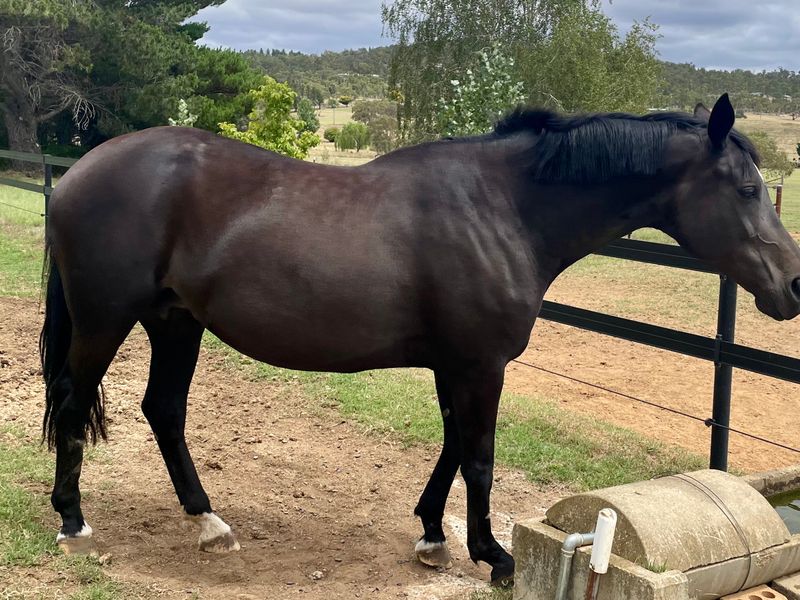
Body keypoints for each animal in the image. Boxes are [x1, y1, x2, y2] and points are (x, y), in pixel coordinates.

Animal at [40, 93, 800, 585]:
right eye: (745, 188)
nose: (793, 285)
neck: (503, 209)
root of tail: (80, 171)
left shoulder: (453, 363)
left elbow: (453, 446)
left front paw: (434, 534)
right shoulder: (481, 365)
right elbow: (481, 457)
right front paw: (494, 556)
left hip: (176, 322)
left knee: (163, 411)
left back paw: (208, 523)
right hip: (106, 320)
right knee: (76, 403)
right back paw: (73, 522)